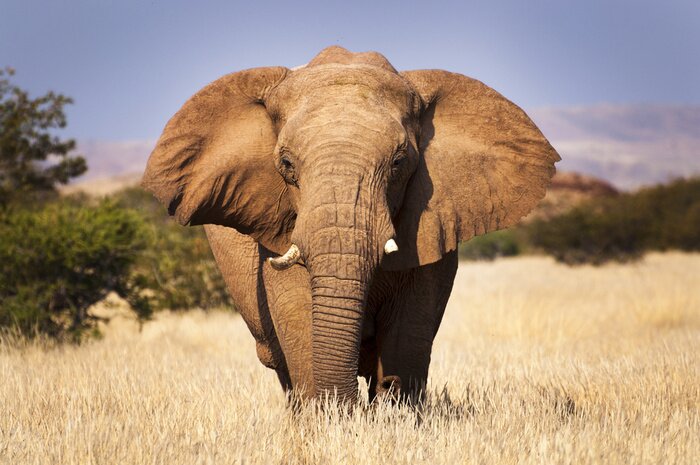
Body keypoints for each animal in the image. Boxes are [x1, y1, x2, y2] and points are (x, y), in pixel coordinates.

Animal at [141, 46, 560, 404]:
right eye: (286, 165)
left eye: (399, 162)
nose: (381, 389)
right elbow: (298, 317)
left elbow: (409, 331)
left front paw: (393, 408)